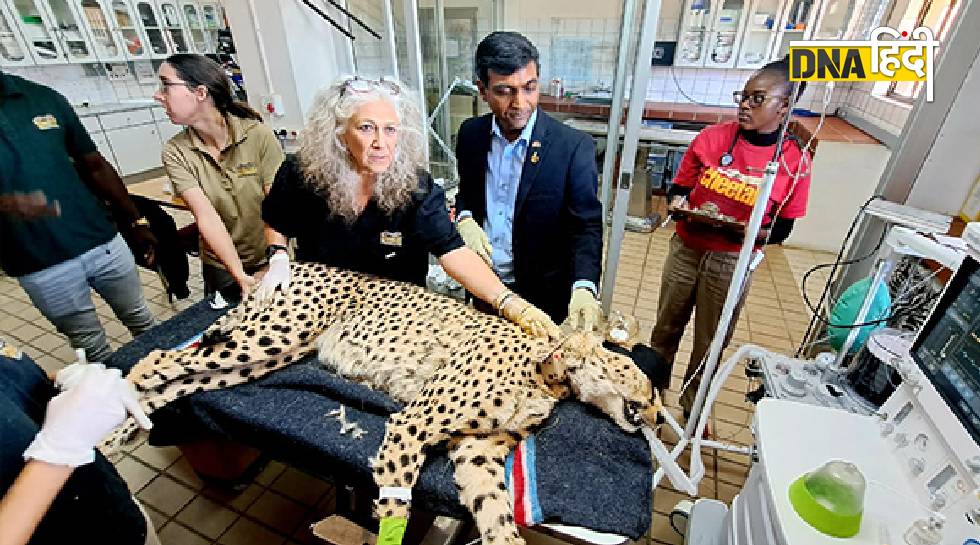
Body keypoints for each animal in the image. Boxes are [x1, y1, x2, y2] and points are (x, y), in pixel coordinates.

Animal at [109, 262, 668, 540]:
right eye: (646, 386)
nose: (659, 416)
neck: (551, 375)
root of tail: (296, 261)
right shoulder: (413, 423)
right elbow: (397, 503)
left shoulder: (477, 452)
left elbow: (496, 519)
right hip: (269, 337)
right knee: (157, 358)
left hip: (264, 359)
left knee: (181, 380)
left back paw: (120, 430)